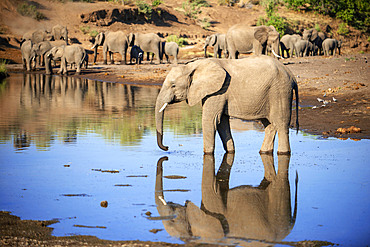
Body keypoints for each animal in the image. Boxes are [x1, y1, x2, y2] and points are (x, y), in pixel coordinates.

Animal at [155, 57, 300, 155]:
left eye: (173, 85)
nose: (167, 148)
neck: (194, 66)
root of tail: (292, 76)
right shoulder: (217, 92)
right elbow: (221, 123)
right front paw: (230, 152)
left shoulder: (218, 91)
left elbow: (210, 121)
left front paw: (207, 154)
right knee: (269, 125)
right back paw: (264, 152)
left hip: (280, 92)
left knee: (281, 124)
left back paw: (283, 153)